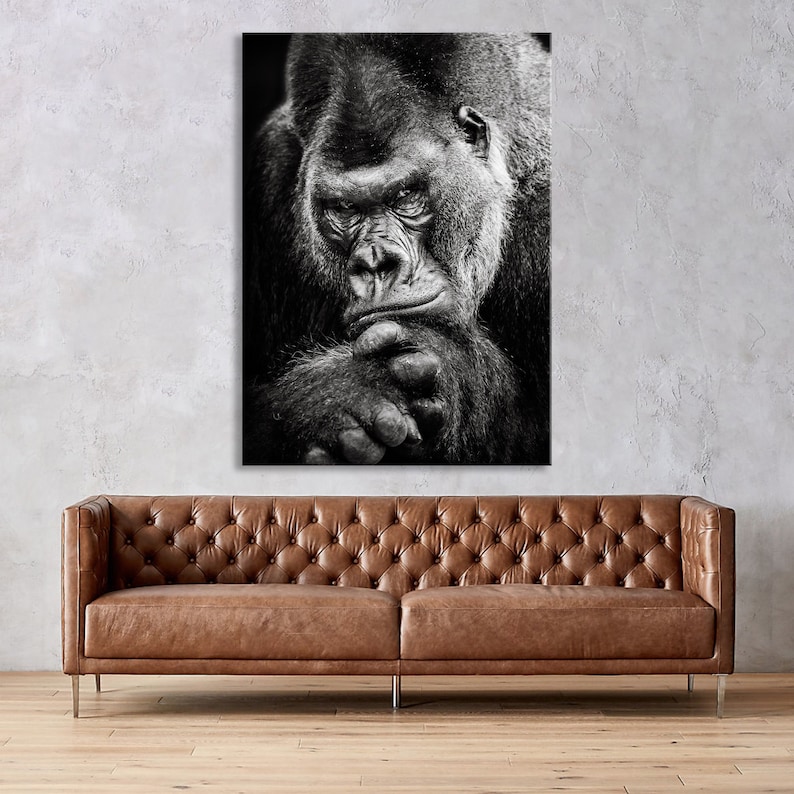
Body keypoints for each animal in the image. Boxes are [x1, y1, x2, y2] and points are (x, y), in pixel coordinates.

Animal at [243, 33, 550, 464]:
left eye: (406, 196)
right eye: (344, 208)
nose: (376, 262)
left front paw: (453, 370)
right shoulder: (271, 170)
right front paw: (331, 398)